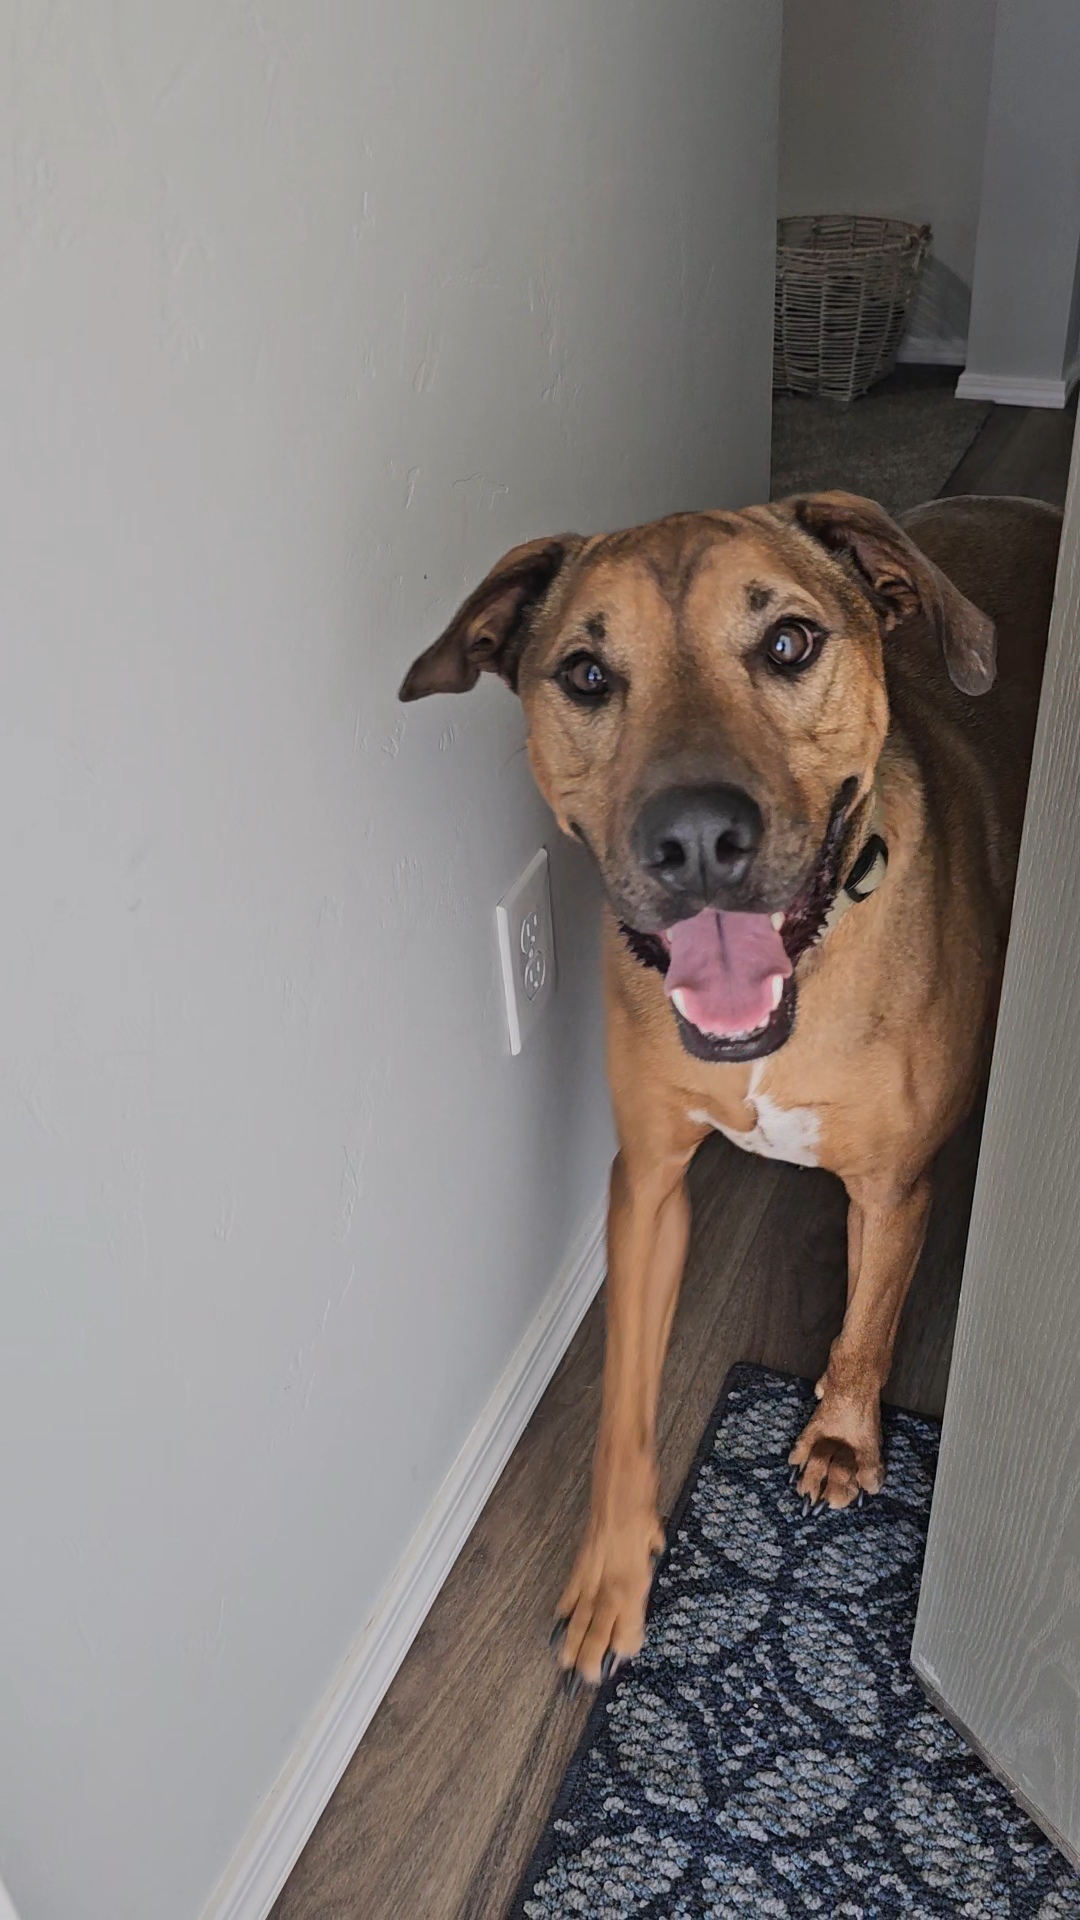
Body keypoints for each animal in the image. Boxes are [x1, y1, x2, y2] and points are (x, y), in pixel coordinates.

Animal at [397, 487, 1060, 1689]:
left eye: (789, 642)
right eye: (586, 674)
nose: (698, 838)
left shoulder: (891, 1189)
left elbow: (867, 1322)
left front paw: (841, 1438)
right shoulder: (648, 1183)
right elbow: (622, 1405)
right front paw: (614, 1575)